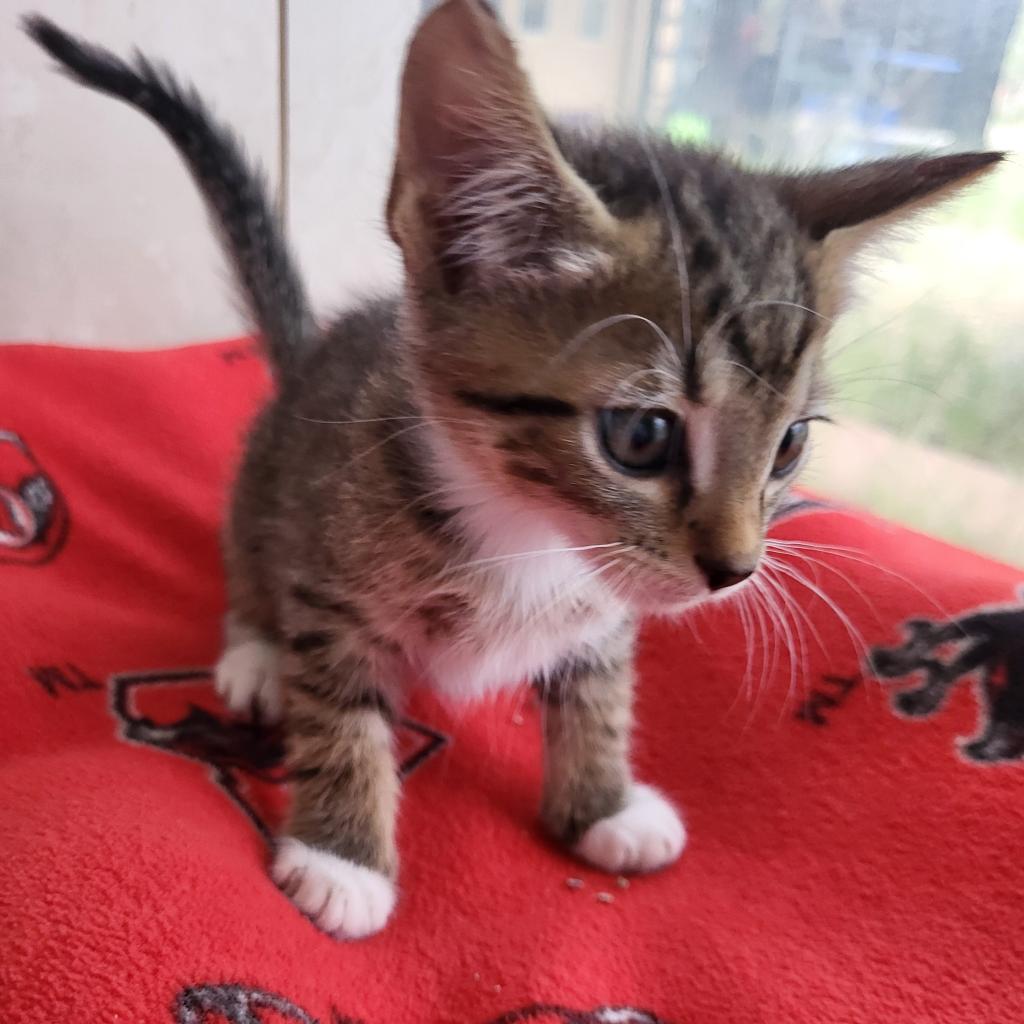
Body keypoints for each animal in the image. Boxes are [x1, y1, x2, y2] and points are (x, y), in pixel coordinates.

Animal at [22, 0, 999, 937]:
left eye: (790, 444)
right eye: (641, 435)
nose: (736, 570)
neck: (530, 530)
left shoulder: (608, 613)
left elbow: (601, 694)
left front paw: (601, 804)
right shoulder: (335, 585)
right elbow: (341, 715)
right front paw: (343, 858)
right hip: (267, 486)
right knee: (256, 572)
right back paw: (259, 656)